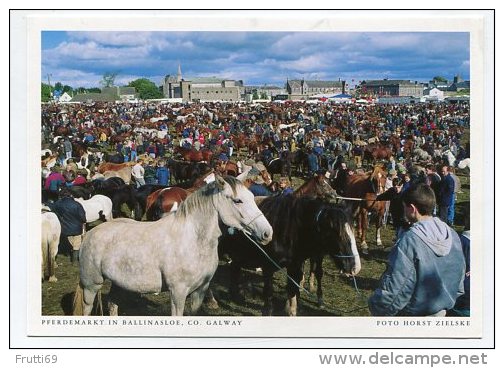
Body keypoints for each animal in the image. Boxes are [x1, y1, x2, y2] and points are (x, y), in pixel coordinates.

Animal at [72, 175, 272, 316]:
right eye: (238, 200)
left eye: (252, 196)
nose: (267, 233)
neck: (191, 239)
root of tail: (89, 235)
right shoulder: (178, 293)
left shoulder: (200, 291)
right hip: (91, 285)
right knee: (87, 308)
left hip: (117, 283)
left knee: (113, 305)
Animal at [219, 196, 360, 316]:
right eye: (334, 231)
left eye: (353, 228)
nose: (355, 267)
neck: (287, 229)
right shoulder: (268, 266)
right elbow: (268, 292)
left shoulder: (295, 266)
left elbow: (293, 289)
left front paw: (292, 311)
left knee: (235, 268)